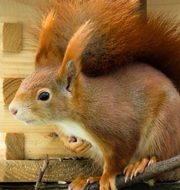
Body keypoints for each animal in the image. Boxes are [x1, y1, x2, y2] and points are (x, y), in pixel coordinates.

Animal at [8, 0, 180, 190]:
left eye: (44, 95)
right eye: (23, 81)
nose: (12, 110)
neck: (73, 117)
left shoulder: (117, 128)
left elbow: (121, 152)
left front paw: (108, 176)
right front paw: (75, 146)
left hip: (165, 127)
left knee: (161, 155)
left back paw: (143, 162)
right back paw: (89, 178)